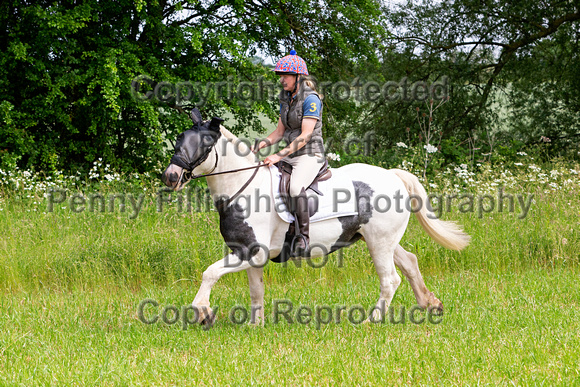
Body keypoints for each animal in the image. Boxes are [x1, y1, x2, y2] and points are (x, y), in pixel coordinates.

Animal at [161, 110, 468, 328]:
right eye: (179, 140)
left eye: (204, 143)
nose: (171, 176)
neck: (242, 187)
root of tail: (393, 175)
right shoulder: (249, 254)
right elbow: (256, 290)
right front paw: (255, 325)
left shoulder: (251, 251)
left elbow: (209, 273)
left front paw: (202, 312)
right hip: (381, 239)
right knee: (410, 263)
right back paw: (430, 304)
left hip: (379, 243)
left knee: (390, 279)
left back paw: (373, 320)